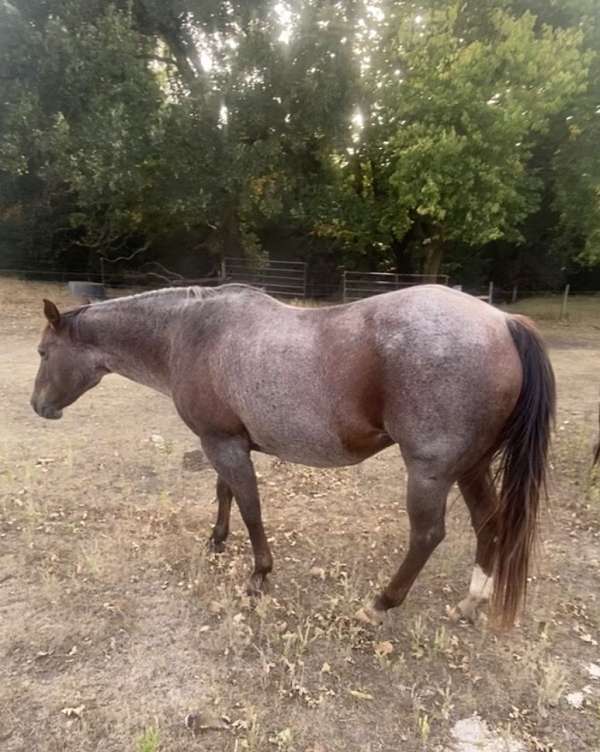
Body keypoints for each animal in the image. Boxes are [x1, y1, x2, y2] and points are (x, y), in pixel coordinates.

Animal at [30, 284, 555, 628]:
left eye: (42, 353)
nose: (38, 406)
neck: (192, 333)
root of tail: (502, 322)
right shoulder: (224, 442)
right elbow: (224, 493)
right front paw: (217, 540)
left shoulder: (223, 444)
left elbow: (250, 507)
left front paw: (258, 576)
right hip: (471, 467)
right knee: (489, 521)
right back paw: (472, 600)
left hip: (430, 473)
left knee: (427, 536)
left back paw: (380, 604)